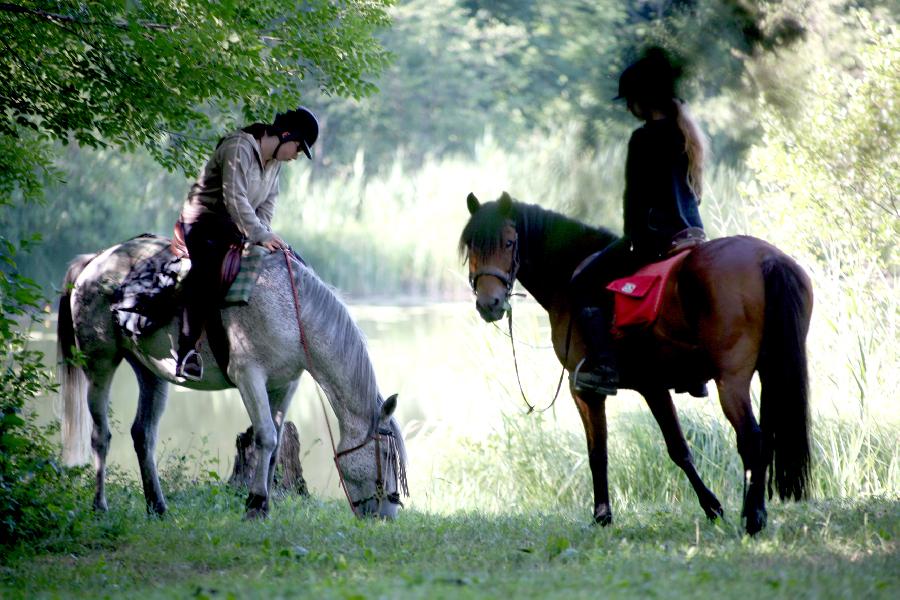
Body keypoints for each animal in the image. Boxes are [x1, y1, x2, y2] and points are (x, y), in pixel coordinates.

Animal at [57, 239, 408, 520]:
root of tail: (95, 261)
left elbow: (275, 444)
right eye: (388, 455)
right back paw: (100, 506)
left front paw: (263, 504)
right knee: (100, 435)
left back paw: (157, 507)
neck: (291, 311)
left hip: (151, 372)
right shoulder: (249, 377)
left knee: (143, 435)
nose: (388, 514)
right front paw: (255, 504)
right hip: (100, 363)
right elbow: (265, 437)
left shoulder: (285, 385)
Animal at [460, 192, 812, 536]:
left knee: (752, 439)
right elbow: (678, 449)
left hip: (732, 380)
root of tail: (766, 258)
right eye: (472, 247)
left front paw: (602, 516)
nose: (490, 304)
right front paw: (712, 508)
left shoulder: (585, 391)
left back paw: (752, 520)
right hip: (771, 372)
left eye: (509, 242)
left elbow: (598, 452)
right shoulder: (653, 386)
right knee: (764, 439)